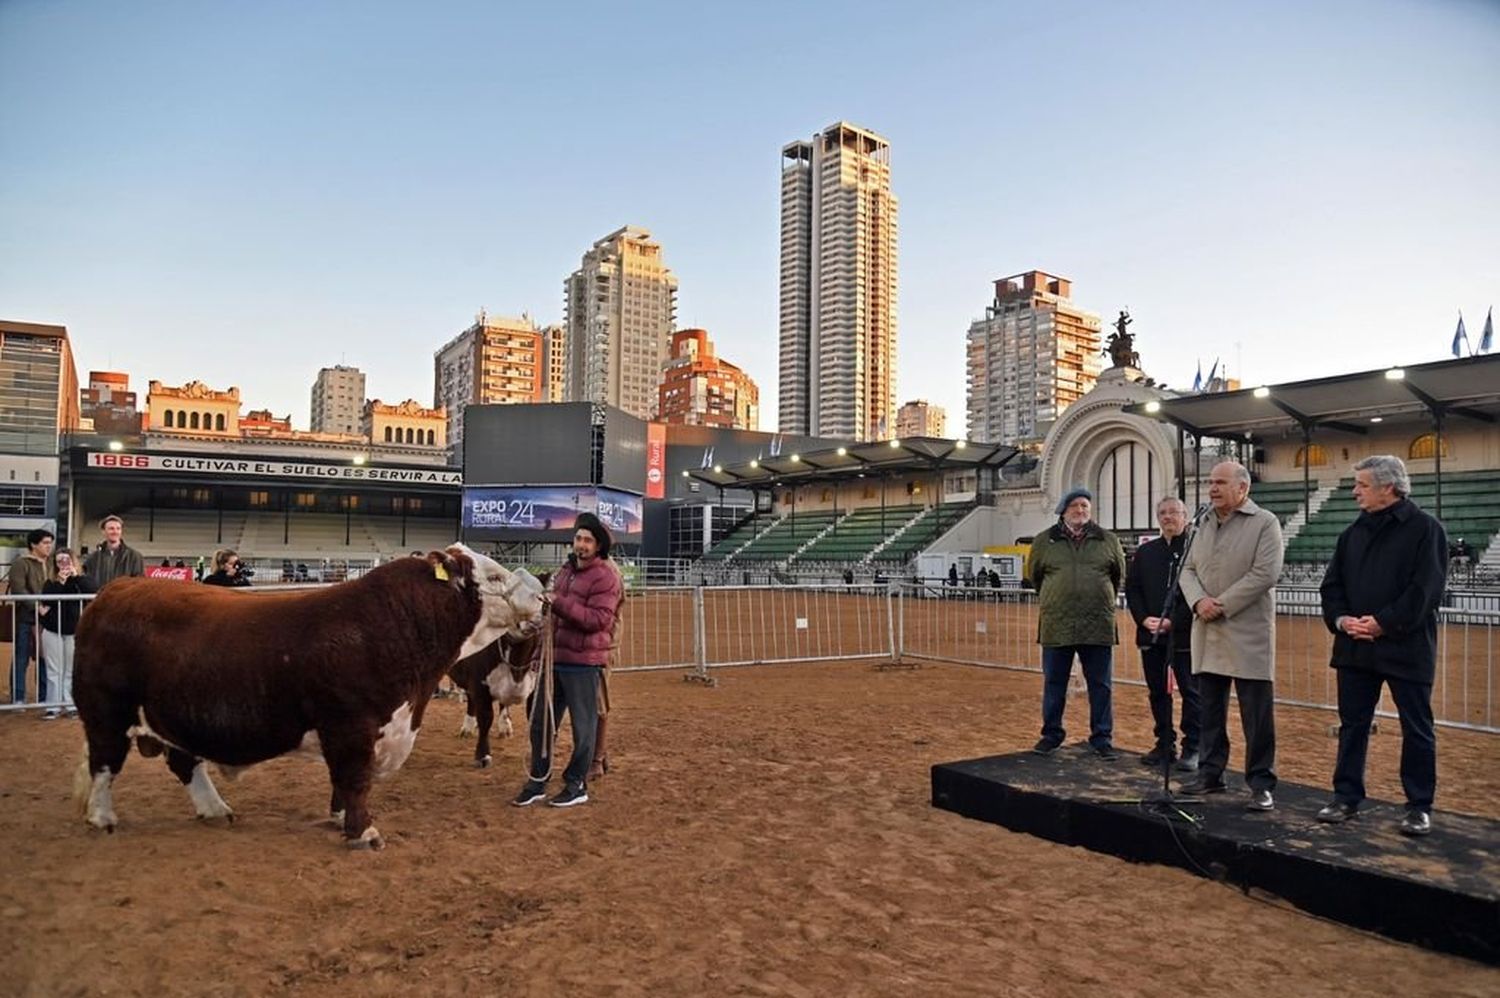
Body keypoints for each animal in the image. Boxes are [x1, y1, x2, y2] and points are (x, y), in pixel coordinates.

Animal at [71, 546, 546, 846]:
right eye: (494, 575)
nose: (543, 596)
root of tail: (113, 592)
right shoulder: (351, 725)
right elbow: (354, 779)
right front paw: (363, 832)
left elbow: (345, 781)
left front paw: (339, 818)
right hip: (106, 714)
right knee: (105, 765)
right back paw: (102, 817)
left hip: (172, 717)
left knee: (184, 762)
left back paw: (215, 808)